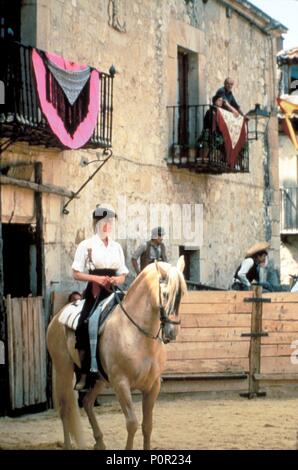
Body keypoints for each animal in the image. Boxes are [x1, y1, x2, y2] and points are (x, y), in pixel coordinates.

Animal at [46, 258, 186, 450]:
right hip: (63, 371)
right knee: (65, 408)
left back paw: (99, 442)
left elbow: (147, 425)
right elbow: (132, 423)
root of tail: (56, 317)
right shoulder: (121, 384)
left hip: (98, 379)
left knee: (87, 402)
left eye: (182, 294)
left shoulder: (153, 385)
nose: (172, 332)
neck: (136, 334)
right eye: (165, 294)